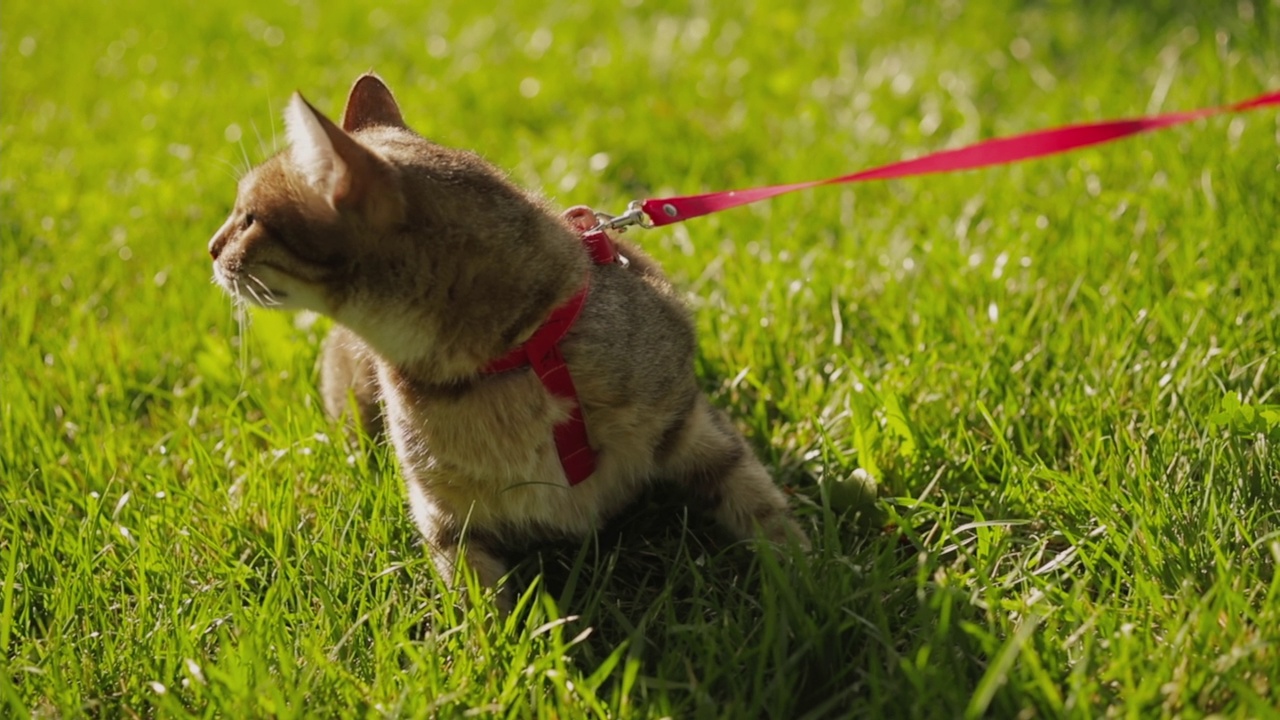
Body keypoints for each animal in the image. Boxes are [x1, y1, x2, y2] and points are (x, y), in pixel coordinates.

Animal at [209, 74, 808, 609]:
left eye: (250, 219)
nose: (211, 247)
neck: (517, 357)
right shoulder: (447, 523)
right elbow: (485, 621)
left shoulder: (690, 423)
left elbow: (765, 510)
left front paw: (808, 587)